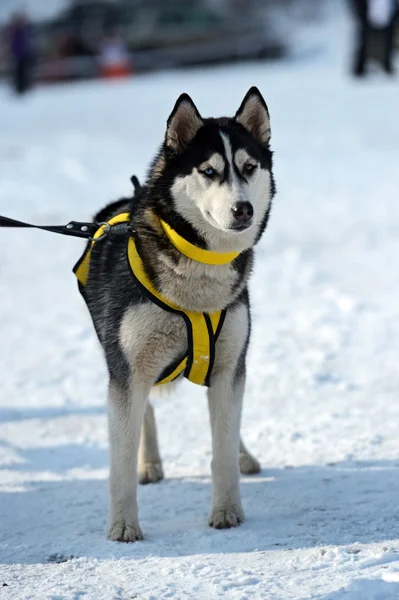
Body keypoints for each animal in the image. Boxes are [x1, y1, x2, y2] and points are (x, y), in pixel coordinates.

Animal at [74, 86, 276, 540]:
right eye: (208, 170)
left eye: (249, 167)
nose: (243, 209)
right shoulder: (128, 369)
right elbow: (121, 458)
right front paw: (123, 524)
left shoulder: (229, 366)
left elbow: (222, 445)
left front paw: (227, 511)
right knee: (144, 410)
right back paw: (149, 463)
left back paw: (244, 455)